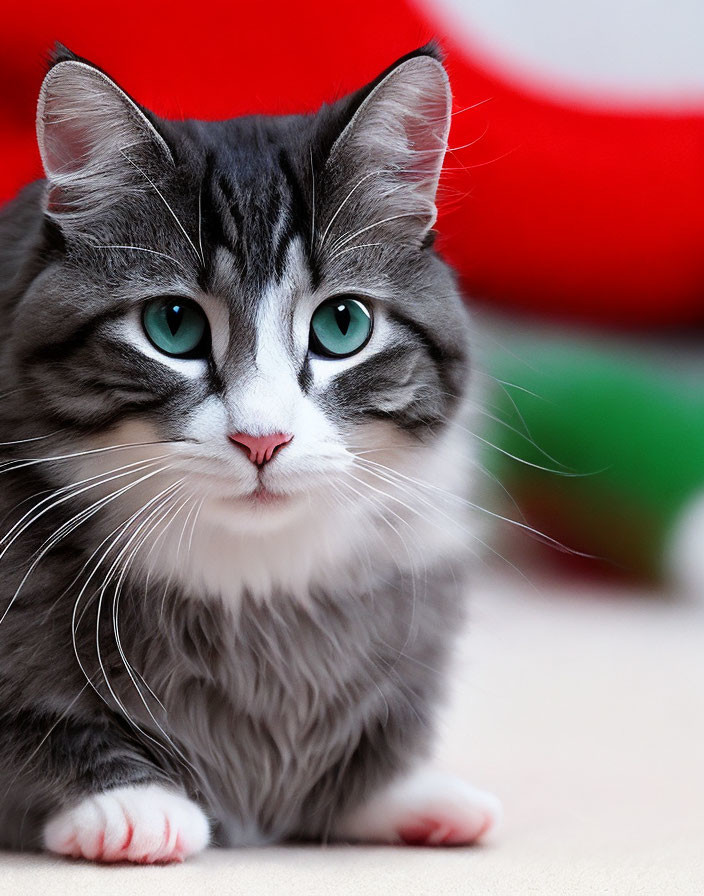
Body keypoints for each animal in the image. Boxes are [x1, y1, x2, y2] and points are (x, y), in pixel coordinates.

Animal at [0, 45, 500, 864]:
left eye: (342, 324)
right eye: (172, 325)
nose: (261, 439)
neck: (248, 583)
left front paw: (406, 794)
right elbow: (42, 725)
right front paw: (131, 803)